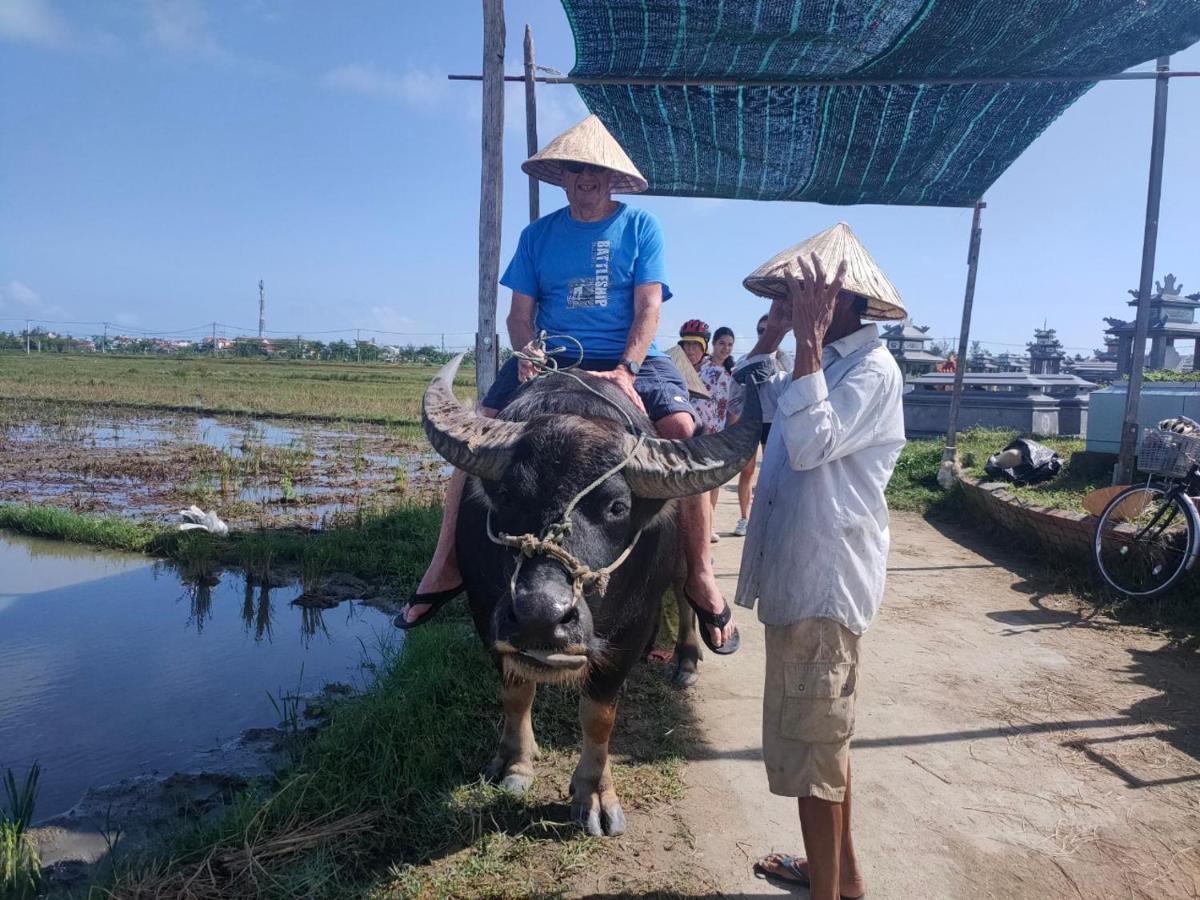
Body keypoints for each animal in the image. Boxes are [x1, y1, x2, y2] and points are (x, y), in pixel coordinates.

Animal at [424, 355, 758, 840]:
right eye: (507, 496)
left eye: (616, 507)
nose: (540, 614)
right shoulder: (486, 615)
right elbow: (516, 692)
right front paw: (514, 765)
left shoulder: (628, 632)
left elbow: (599, 715)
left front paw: (595, 796)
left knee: (685, 590)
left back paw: (686, 660)